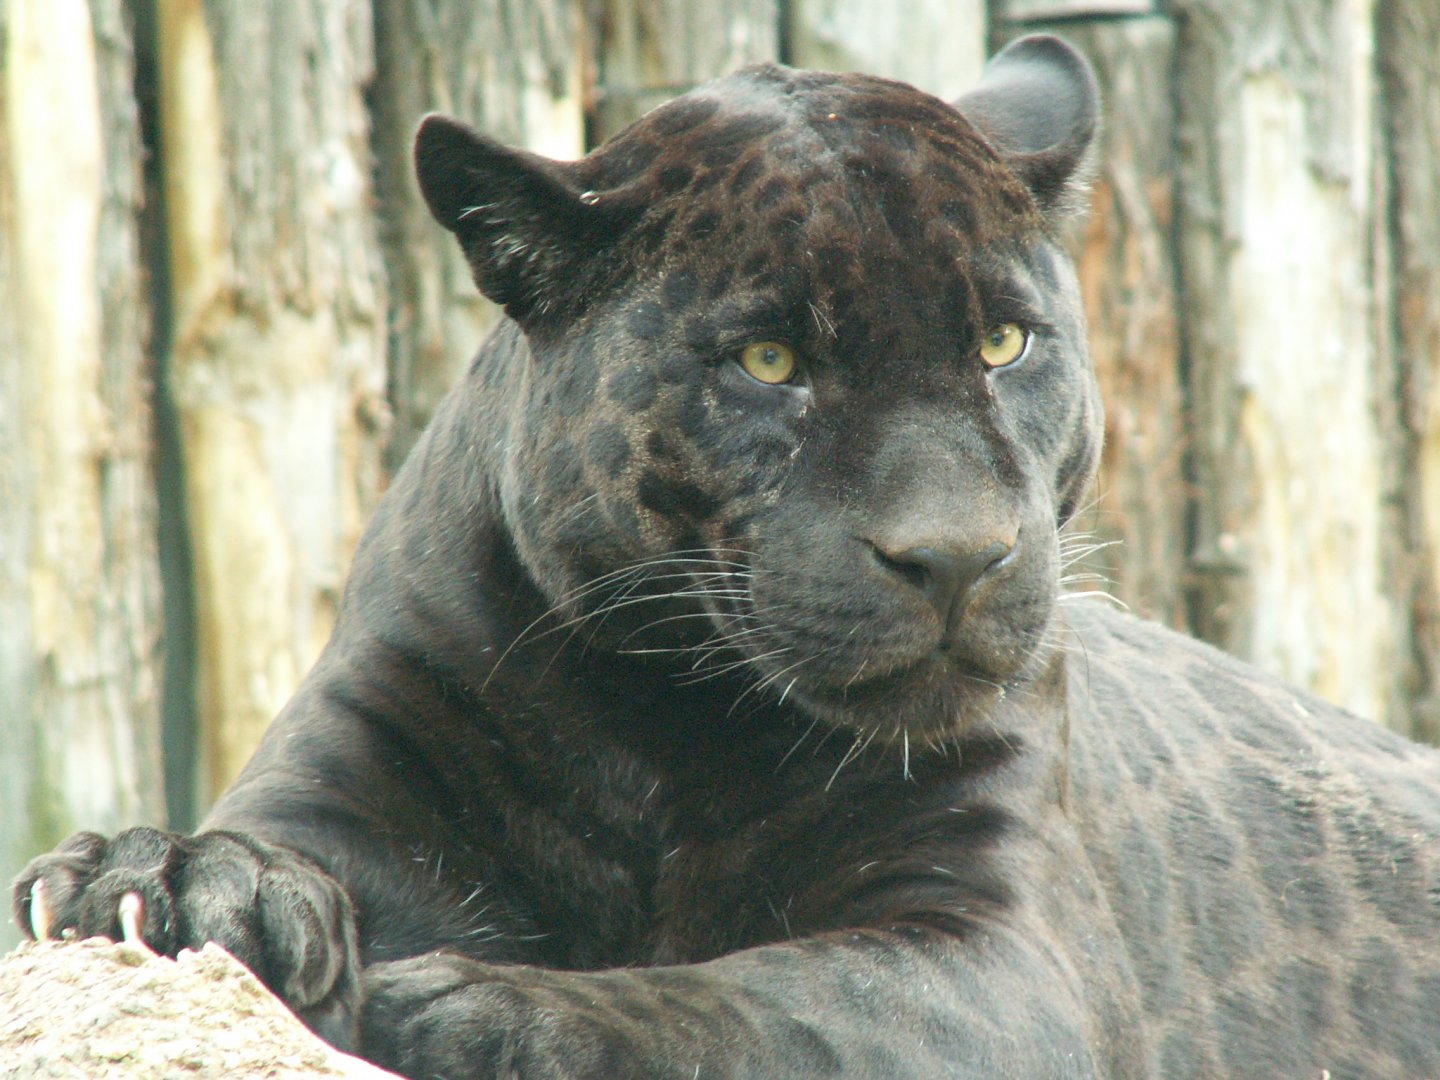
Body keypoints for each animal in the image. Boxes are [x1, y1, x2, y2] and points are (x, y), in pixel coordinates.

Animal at [13, 34, 1440, 1079]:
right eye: (767, 361)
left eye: (1002, 344)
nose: (956, 556)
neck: (663, 731)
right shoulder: (344, 784)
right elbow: (257, 846)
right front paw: (164, 877)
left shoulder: (1002, 951)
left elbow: (763, 1000)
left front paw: (468, 1007)